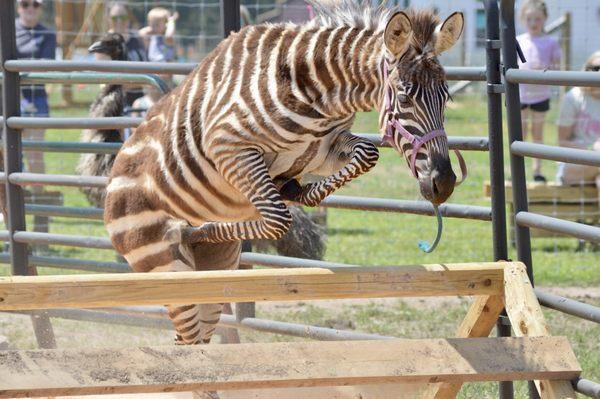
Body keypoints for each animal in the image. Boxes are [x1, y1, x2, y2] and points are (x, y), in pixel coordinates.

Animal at [103, 0, 464, 354]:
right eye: (403, 98)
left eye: (446, 98)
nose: (444, 183)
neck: (316, 94)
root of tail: (109, 190)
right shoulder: (229, 147)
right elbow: (278, 219)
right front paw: (209, 227)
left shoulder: (324, 150)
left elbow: (367, 154)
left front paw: (297, 191)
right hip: (165, 265)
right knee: (189, 340)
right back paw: (195, 232)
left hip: (214, 270)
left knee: (195, 338)